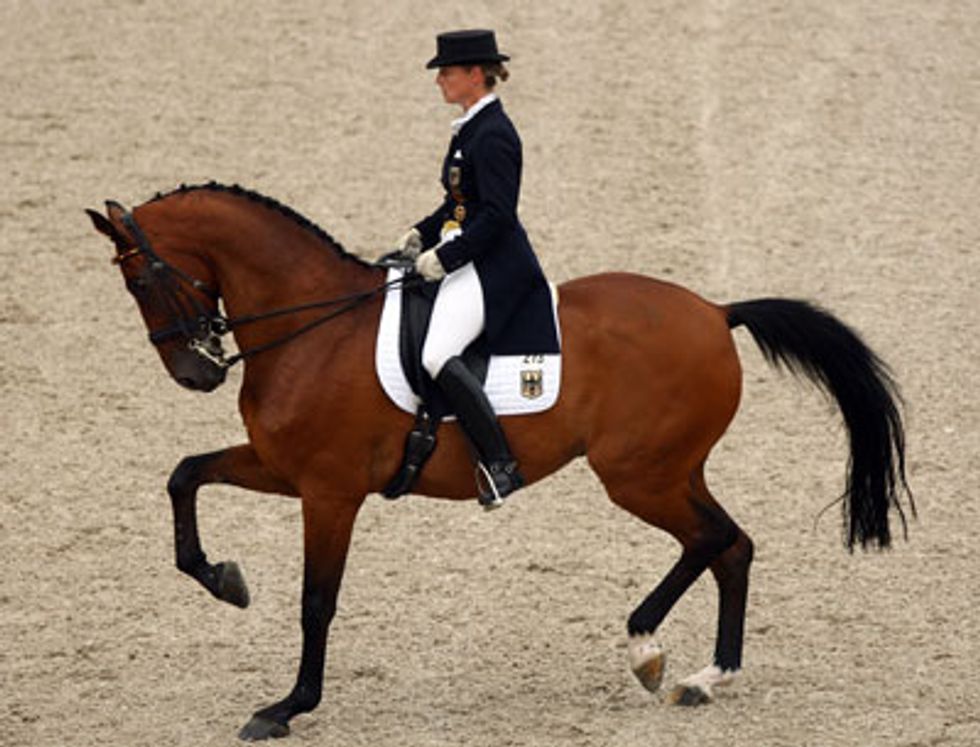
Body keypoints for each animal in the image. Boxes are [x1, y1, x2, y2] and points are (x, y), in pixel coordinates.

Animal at [87, 182, 912, 741]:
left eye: (141, 278)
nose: (195, 373)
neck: (313, 328)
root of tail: (716, 312)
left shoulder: (328, 490)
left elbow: (316, 600)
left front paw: (287, 706)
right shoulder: (278, 465)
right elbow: (184, 473)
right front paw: (224, 579)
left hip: (638, 475)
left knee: (715, 539)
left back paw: (660, 654)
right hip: (671, 470)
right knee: (729, 544)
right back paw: (694, 672)